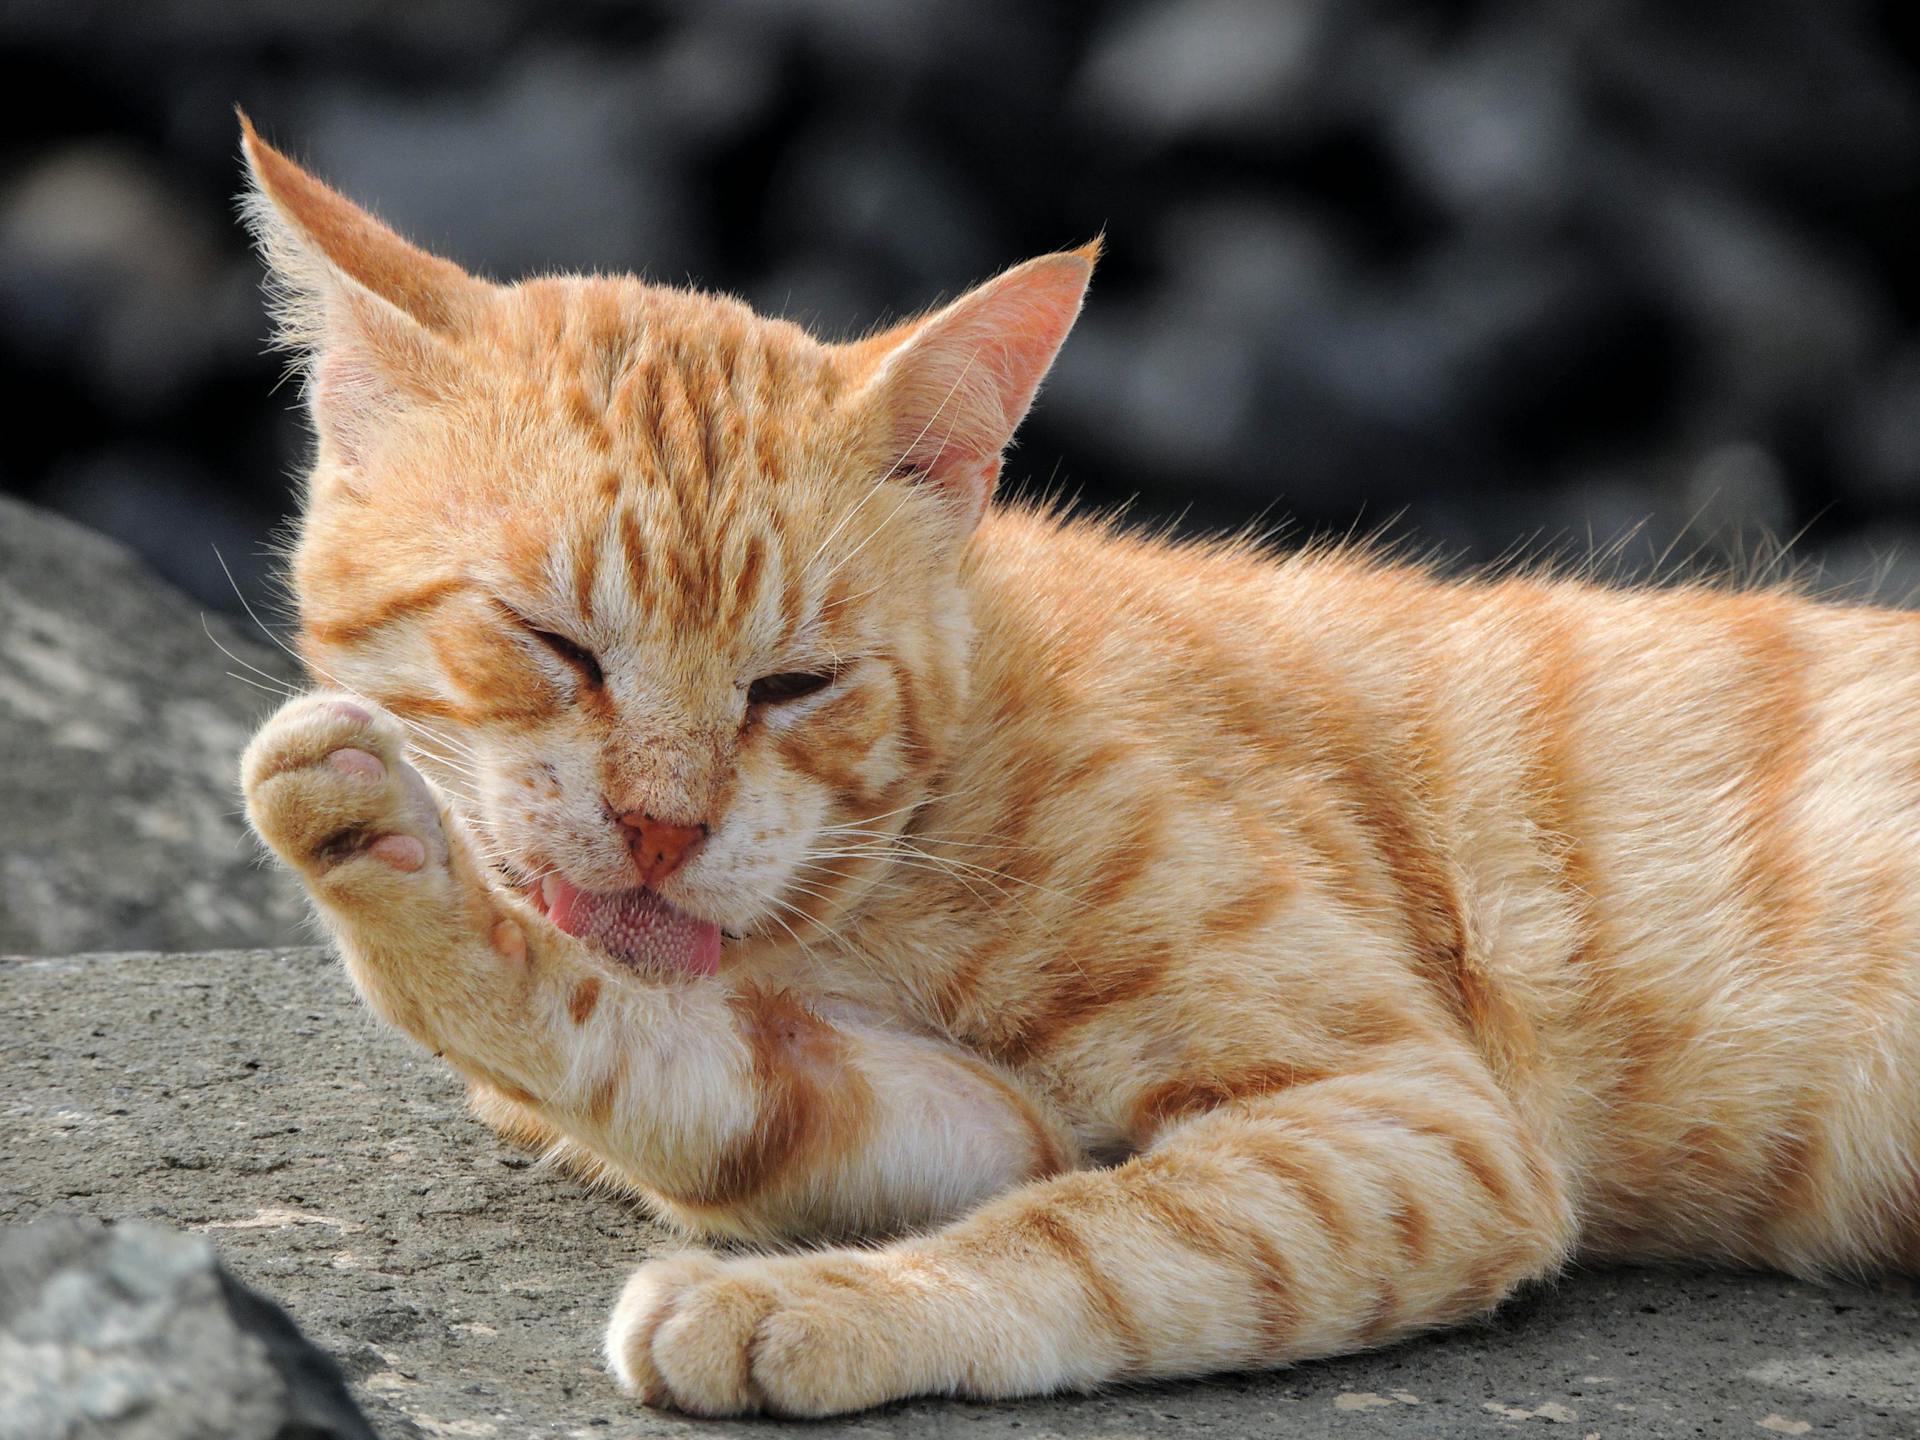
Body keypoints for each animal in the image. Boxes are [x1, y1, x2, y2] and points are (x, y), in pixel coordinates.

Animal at [236, 115, 1920, 1420]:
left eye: (796, 685)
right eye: (554, 643)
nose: (660, 826)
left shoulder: (1412, 1117)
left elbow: (1090, 1242)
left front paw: (812, 1307)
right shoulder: (963, 1115)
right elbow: (688, 1069)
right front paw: (414, 897)